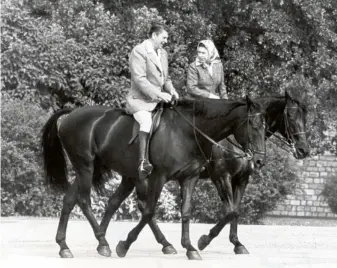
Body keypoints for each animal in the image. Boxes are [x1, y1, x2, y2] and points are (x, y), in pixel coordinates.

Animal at [43, 96, 266, 260]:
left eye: (265, 127)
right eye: (253, 125)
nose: (259, 160)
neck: (187, 132)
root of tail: (72, 113)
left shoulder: (190, 178)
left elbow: (190, 211)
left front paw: (191, 247)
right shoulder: (162, 177)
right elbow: (150, 211)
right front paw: (124, 245)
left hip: (106, 172)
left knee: (75, 200)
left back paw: (66, 245)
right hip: (86, 167)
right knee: (84, 200)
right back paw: (103, 242)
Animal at [93, 90, 308, 258]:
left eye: (305, 117)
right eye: (290, 117)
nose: (304, 150)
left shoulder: (241, 179)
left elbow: (235, 211)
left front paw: (237, 243)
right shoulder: (221, 177)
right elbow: (230, 211)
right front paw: (205, 240)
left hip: (132, 177)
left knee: (121, 202)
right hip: (144, 178)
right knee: (144, 206)